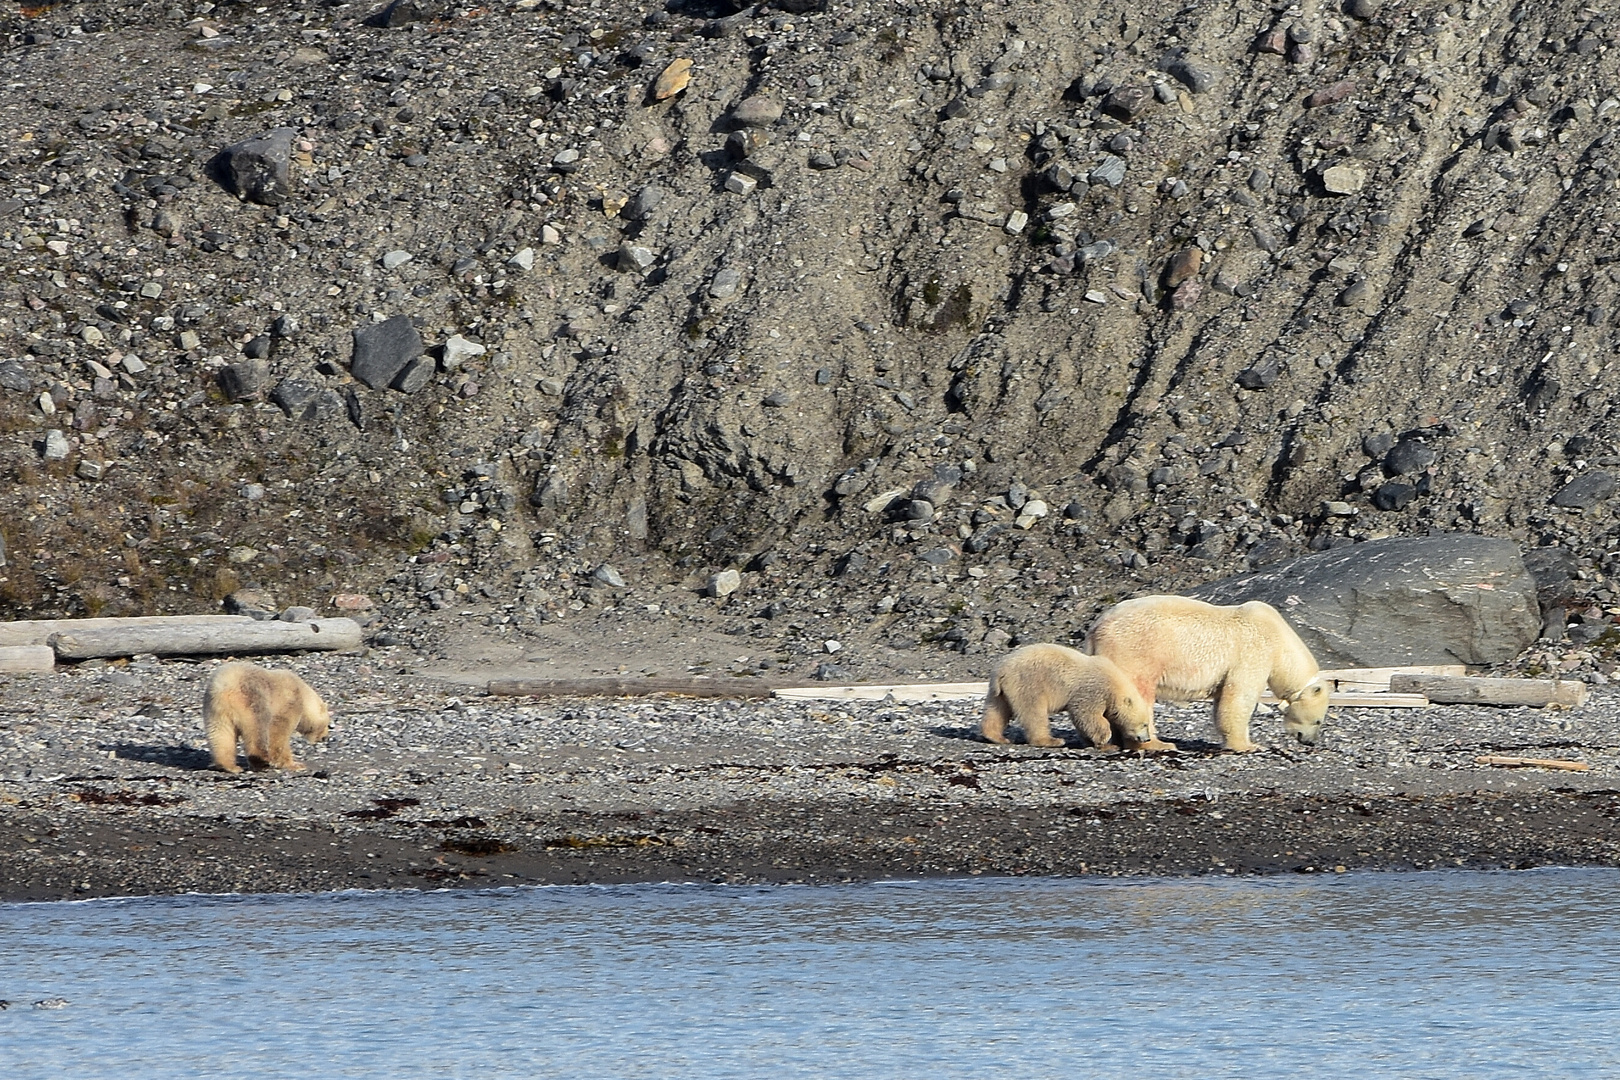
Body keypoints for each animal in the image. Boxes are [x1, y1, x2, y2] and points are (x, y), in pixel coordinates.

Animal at [978, 641, 1159, 751]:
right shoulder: (1092, 690)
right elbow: (1088, 715)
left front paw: (1091, 741)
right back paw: (1051, 740)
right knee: (1034, 712)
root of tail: (1001, 672)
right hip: (1028, 683)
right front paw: (1106, 742)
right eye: (1144, 724)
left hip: (1000, 691)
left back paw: (997, 737)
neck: (1114, 683)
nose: (1146, 739)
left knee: (997, 709)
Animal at [1088, 595, 1328, 757]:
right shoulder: (1255, 651)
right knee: (1137, 693)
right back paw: (1154, 743)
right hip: (1135, 652)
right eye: (1318, 721)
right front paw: (1248, 745)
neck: (1281, 642)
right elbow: (1240, 696)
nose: (1311, 742)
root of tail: (1096, 627)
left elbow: (1223, 700)